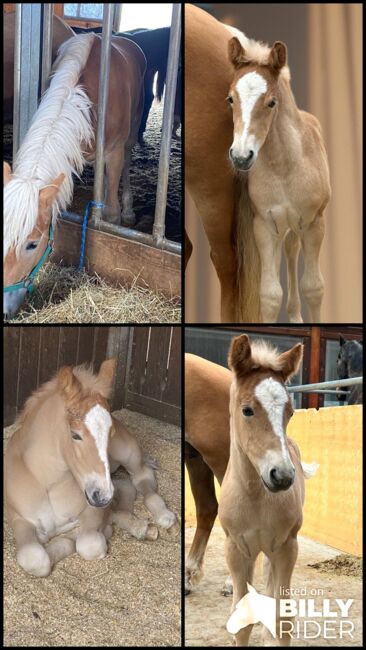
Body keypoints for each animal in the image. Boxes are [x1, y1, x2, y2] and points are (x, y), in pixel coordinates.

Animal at [4, 32, 145, 316]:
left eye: (32, 244)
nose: (3, 309)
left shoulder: (113, 152)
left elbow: (110, 213)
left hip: (131, 132)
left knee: (125, 165)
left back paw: (127, 209)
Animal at [4, 356, 177, 576]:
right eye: (75, 435)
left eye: (111, 432)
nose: (102, 495)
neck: (47, 482)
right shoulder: (19, 519)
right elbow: (35, 559)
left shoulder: (93, 510)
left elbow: (88, 543)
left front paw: (97, 531)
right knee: (126, 487)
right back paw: (141, 528)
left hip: (128, 454)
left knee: (142, 479)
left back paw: (164, 517)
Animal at [219, 334, 318, 644]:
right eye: (247, 410)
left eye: (290, 412)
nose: (282, 476)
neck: (255, 495)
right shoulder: (237, 549)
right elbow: (241, 618)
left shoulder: (287, 547)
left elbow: (283, 615)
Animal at [227, 38, 330, 322]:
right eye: (231, 99)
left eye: (272, 102)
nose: (241, 156)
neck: (285, 167)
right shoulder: (263, 224)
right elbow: (270, 294)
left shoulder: (315, 223)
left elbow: (314, 288)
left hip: (298, 224)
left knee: (292, 250)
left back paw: (295, 315)